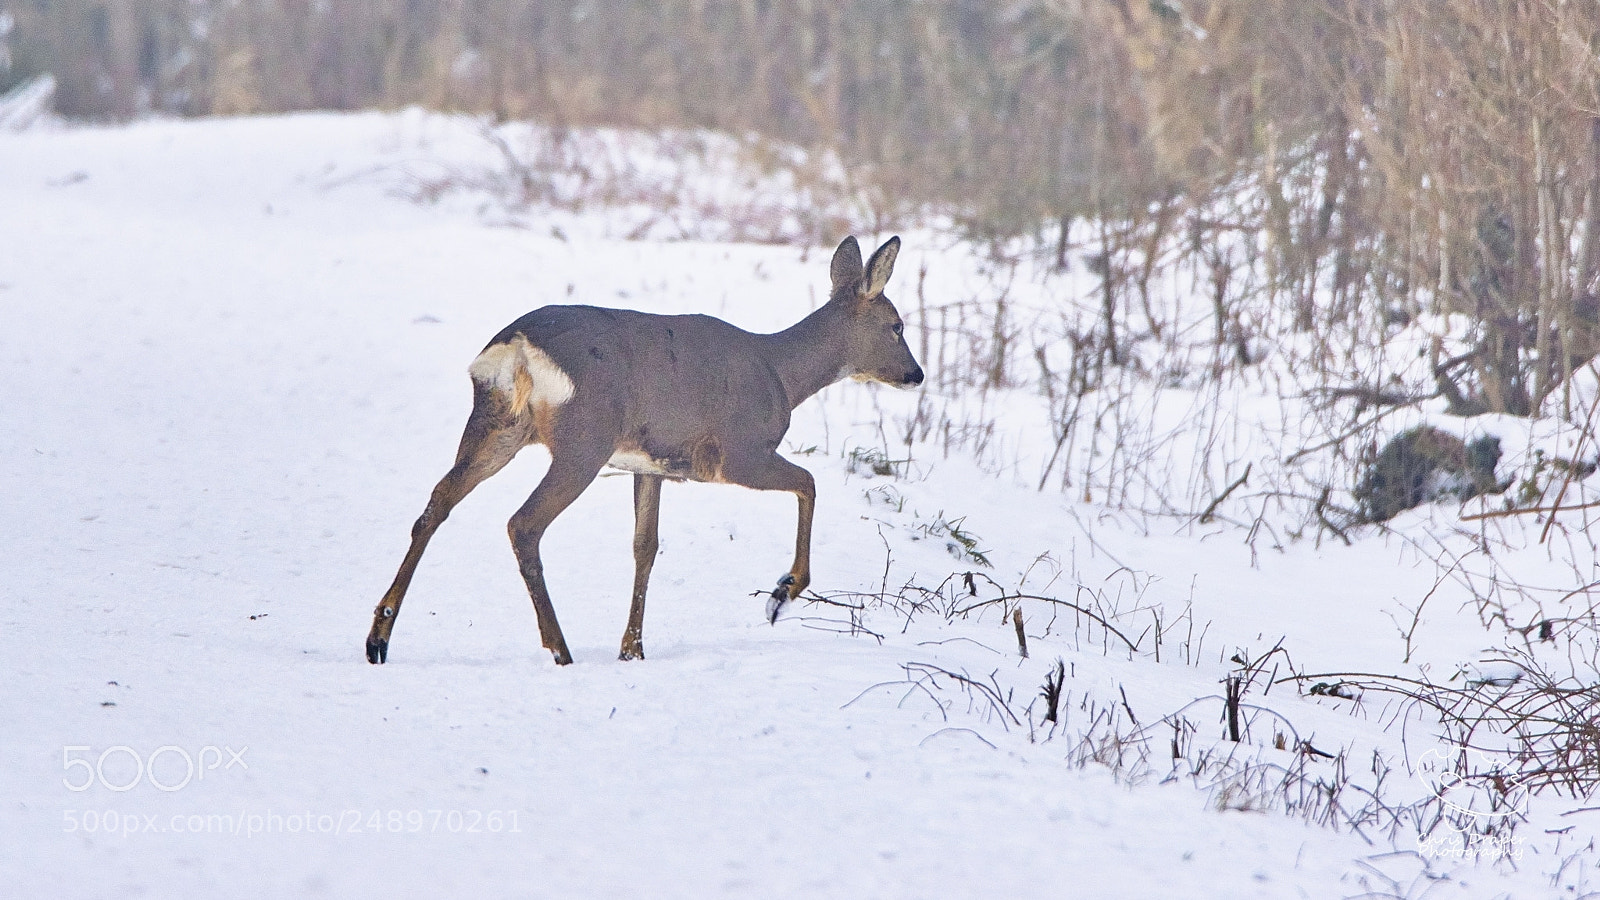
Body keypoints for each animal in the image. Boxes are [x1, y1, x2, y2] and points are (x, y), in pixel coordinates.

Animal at [366, 235, 923, 665]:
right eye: (896, 325)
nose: (916, 374)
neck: (781, 376)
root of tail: (516, 348)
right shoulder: (736, 452)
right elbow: (808, 482)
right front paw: (781, 595)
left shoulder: (650, 464)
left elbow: (645, 546)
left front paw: (632, 648)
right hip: (583, 440)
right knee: (522, 524)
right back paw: (559, 648)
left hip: (496, 424)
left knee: (436, 503)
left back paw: (379, 637)